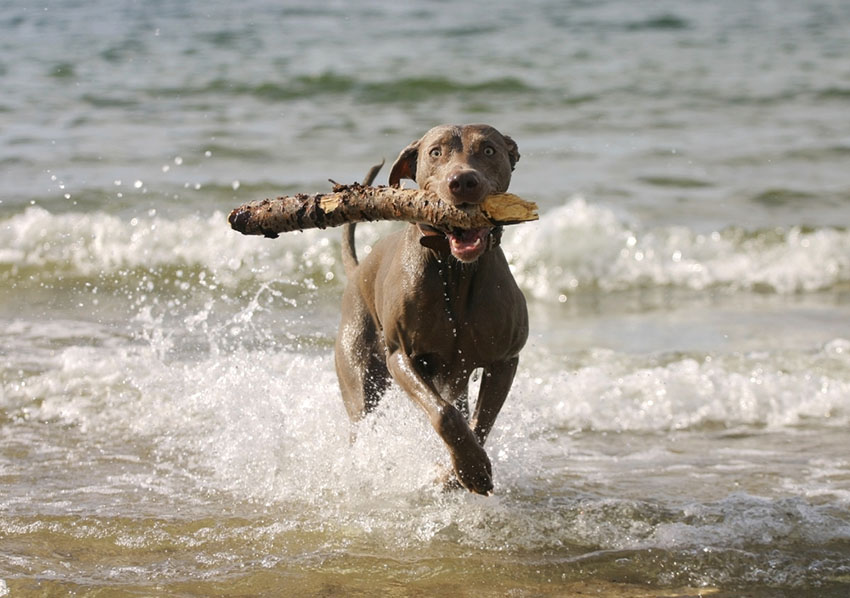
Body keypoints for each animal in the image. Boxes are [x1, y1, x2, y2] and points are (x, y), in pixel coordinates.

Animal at [334, 123, 528, 496]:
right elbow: (444, 414)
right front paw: (470, 470)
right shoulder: (401, 356)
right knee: (361, 419)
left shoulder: (505, 360)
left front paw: (461, 472)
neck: (455, 270)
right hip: (360, 370)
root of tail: (359, 269)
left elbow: (479, 422)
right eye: (435, 152)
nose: (463, 181)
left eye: (489, 150)